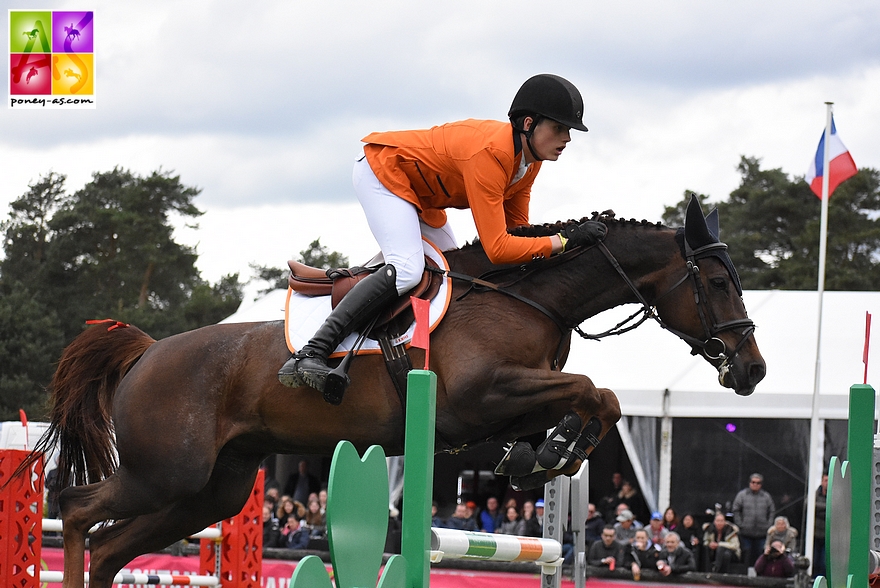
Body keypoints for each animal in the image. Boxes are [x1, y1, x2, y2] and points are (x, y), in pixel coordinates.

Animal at [27, 195, 764, 584]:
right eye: (717, 282)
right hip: (166, 473)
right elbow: (595, 390)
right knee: (80, 511)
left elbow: (588, 397)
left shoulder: (507, 401)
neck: (529, 299)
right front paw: (556, 451)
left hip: (213, 490)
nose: (751, 370)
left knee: (112, 546)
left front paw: (542, 455)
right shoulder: (478, 396)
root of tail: (146, 352)